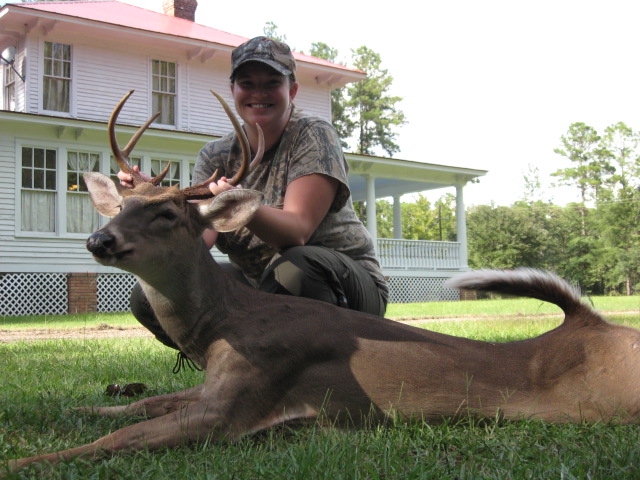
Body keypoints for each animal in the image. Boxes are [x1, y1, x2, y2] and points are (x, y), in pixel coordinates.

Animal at [7, 89, 640, 472]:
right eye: (119, 206)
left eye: (166, 213)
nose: (99, 240)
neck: (224, 323)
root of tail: (592, 325)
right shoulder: (212, 387)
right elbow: (143, 403)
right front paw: (75, 408)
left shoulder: (238, 403)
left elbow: (119, 441)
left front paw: (21, 462)